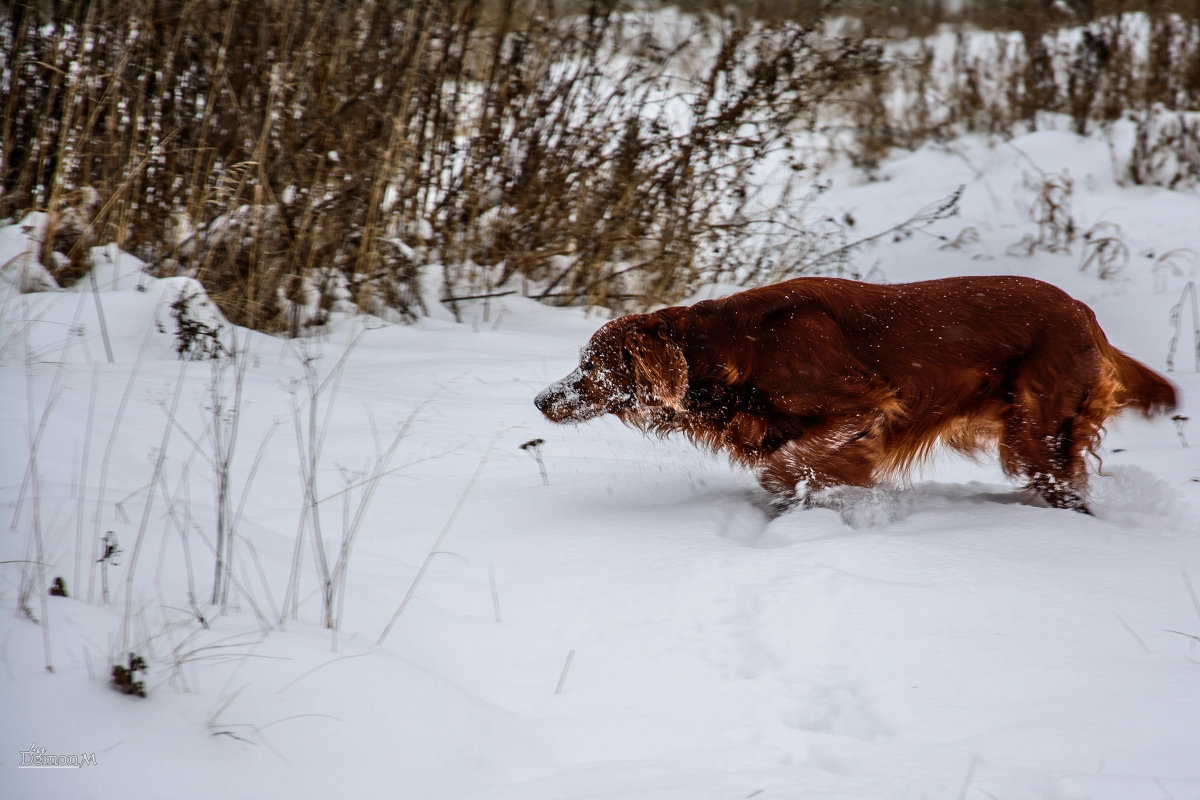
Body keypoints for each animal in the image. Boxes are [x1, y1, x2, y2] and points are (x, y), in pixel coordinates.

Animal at [540, 275, 1176, 513]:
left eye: (590, 365)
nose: (540, 400)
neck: (733, 348)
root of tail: (1083, 311)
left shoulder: (864, 406)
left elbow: (788, 463)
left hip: (1035, 428)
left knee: (1063, 483)